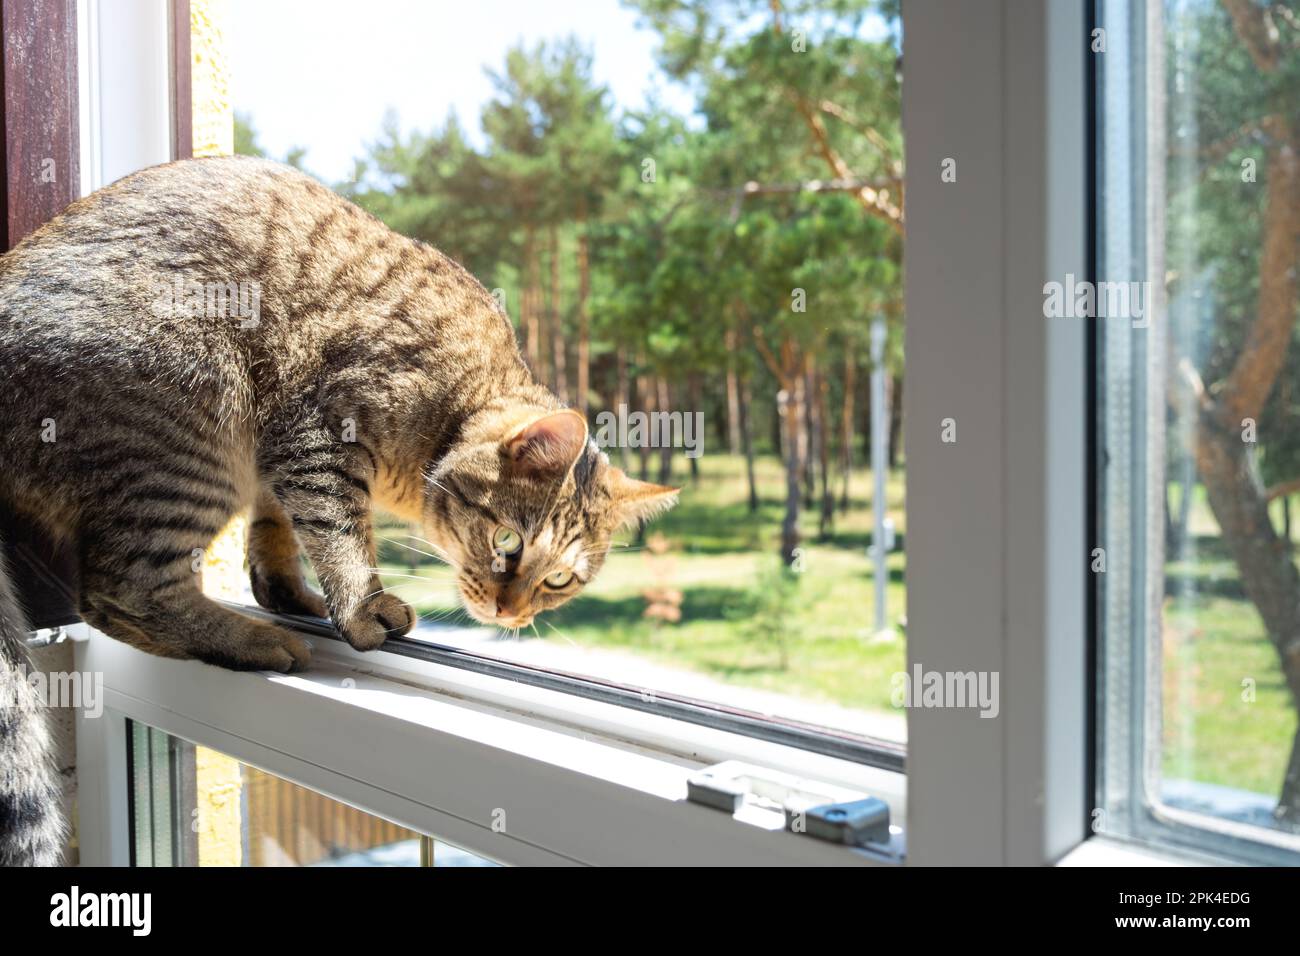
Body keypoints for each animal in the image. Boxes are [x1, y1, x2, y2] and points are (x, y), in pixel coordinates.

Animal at [2, 158, 681, 868]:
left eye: (559, 580)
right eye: (507, 542)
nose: (509, 613)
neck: (453, 404)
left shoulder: (278, 461)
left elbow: (277, 531)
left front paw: (288, 590)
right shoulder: (316, 438)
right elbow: (339, 532)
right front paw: (359, 608)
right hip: (195, 419)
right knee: (117, 591)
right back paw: (252, 640)